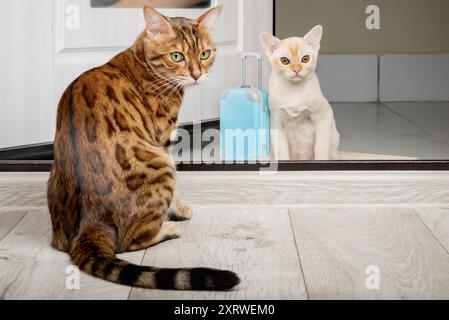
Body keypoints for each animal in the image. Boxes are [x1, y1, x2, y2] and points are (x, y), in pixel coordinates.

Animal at [47, 5, 240, 290]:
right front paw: (178, 210)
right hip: (160, 165)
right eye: (177, 56)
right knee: (131, 241)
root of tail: (89, 225)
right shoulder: (164, 141)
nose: (196, 75)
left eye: (205, 54)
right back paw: (167, 229)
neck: (142, 60)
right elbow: (176, 192)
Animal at [260, 25, 338, 160]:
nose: (296, 70)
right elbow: (282, 151)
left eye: (305, 59)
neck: (294, 90)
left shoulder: (324, 116)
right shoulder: (276, 122)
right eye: (284, 61)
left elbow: (321, 147)